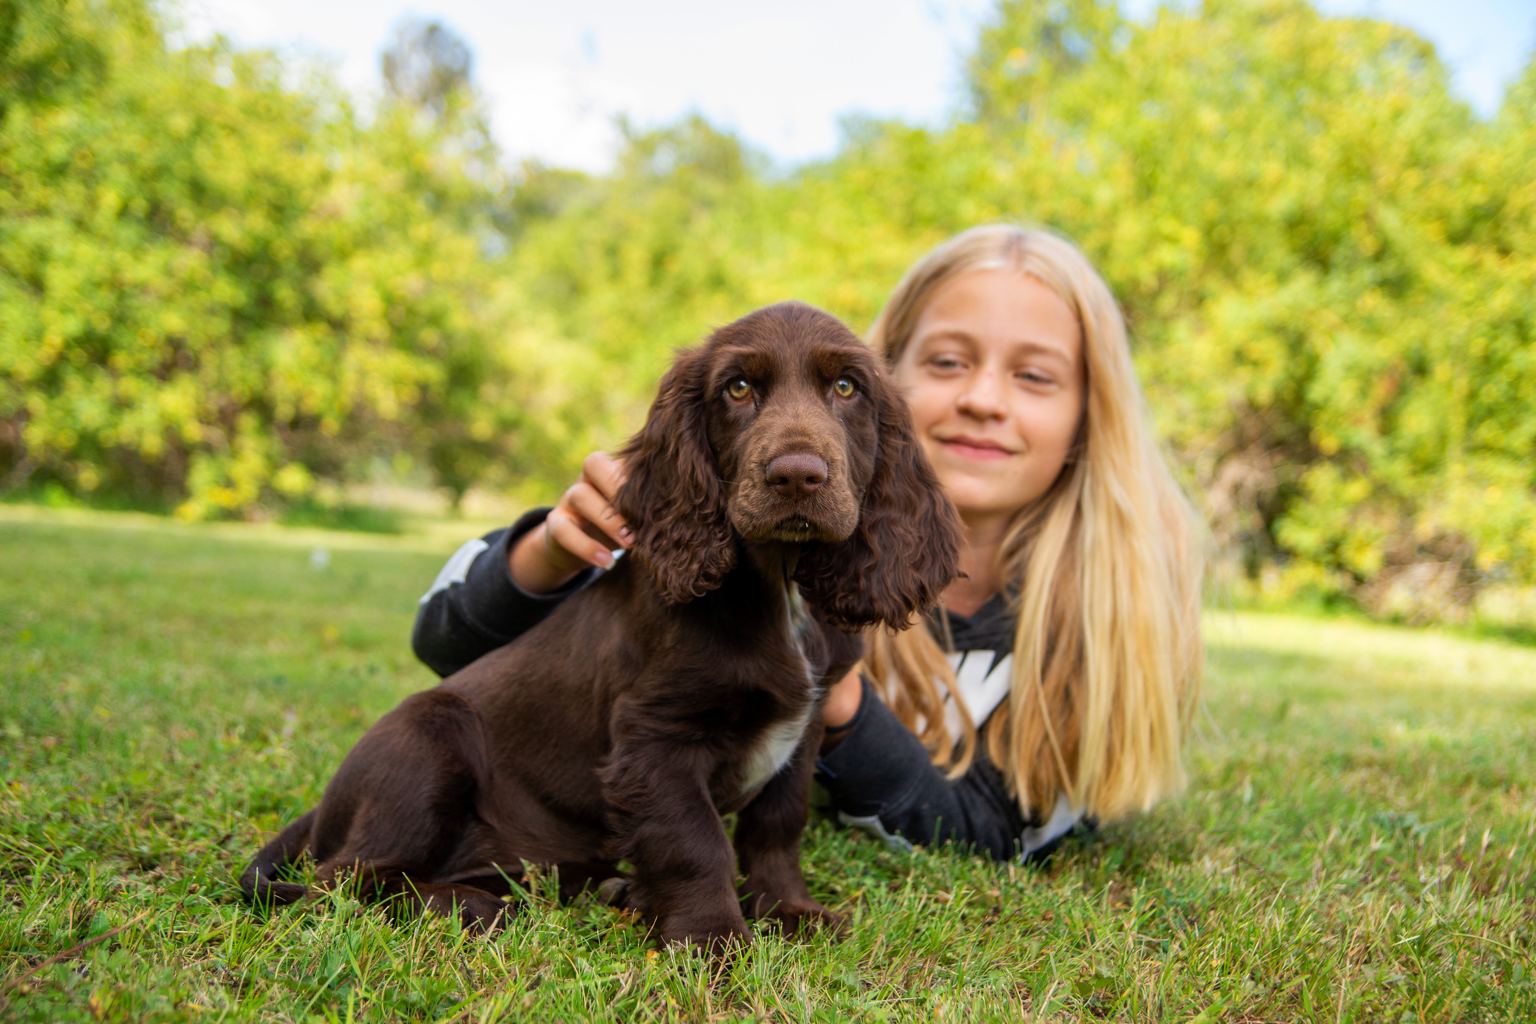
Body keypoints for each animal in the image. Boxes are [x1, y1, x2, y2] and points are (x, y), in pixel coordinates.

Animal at [239, 303, 958, 951]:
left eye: (846, 388)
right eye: (738, 388)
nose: (797, 476)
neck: (780, 591)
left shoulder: (804, 728)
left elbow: (777, 826)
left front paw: (789, 911)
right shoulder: (654, 738)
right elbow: (696, 841)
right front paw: (713, 939)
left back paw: (609, 889)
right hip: (427, 740)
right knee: (345, 881)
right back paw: (478, 908)